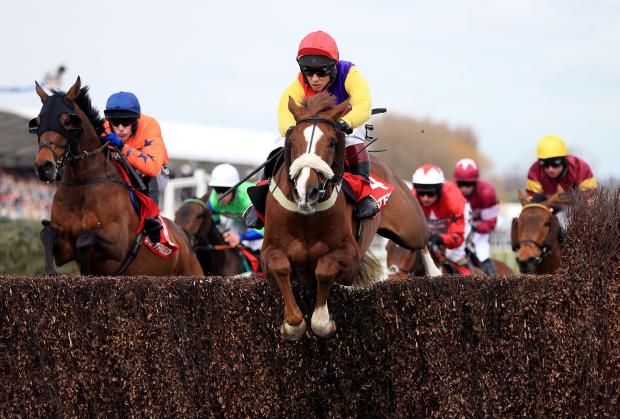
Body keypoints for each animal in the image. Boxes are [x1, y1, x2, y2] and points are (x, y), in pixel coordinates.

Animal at [32, 77, 201, 278]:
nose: (44, 166)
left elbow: (84, 238)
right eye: (38, 121)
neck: (83, 183)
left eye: (67, 121)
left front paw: (87, 271)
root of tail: (184, 239)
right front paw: (49, 271)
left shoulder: (118, 242)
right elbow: (47, 233)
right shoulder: (64, 249)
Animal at [262, 92, 440, 342]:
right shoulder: (270, 250)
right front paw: (293, 325)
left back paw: (435, 274)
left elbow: (325, 268)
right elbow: (280, 267)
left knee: (422, 240)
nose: (307, 193)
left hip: (409, 225)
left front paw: (323, 322)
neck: (306, 217)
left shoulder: (350, 255)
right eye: (293, 141)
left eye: (332, 142)